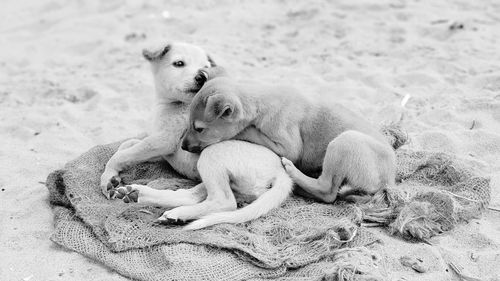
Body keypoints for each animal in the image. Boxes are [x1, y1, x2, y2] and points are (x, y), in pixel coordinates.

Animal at [182, 68, 396, 203]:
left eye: (199, 128)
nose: (183, 147)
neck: (260, 101)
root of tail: (389, 182)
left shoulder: (288, 146)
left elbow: (250, 131)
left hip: (345, 141)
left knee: (327, 191)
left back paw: (294, 172)